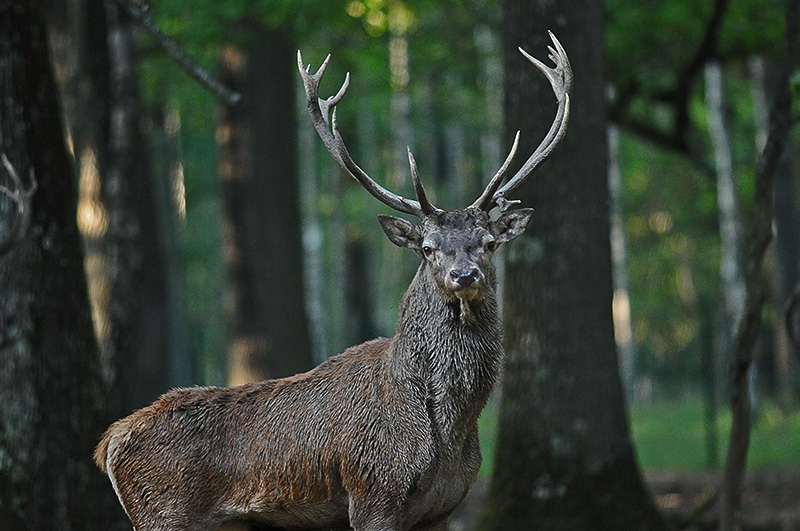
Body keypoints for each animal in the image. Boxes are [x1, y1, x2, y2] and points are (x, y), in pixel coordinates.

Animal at [95, 31, 568, 528]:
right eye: (427, 247)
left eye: (489, 242)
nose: (464, 274)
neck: (448, 433)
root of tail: (108, 443)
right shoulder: (373, 492)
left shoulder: (444, 507)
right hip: (162, 514)